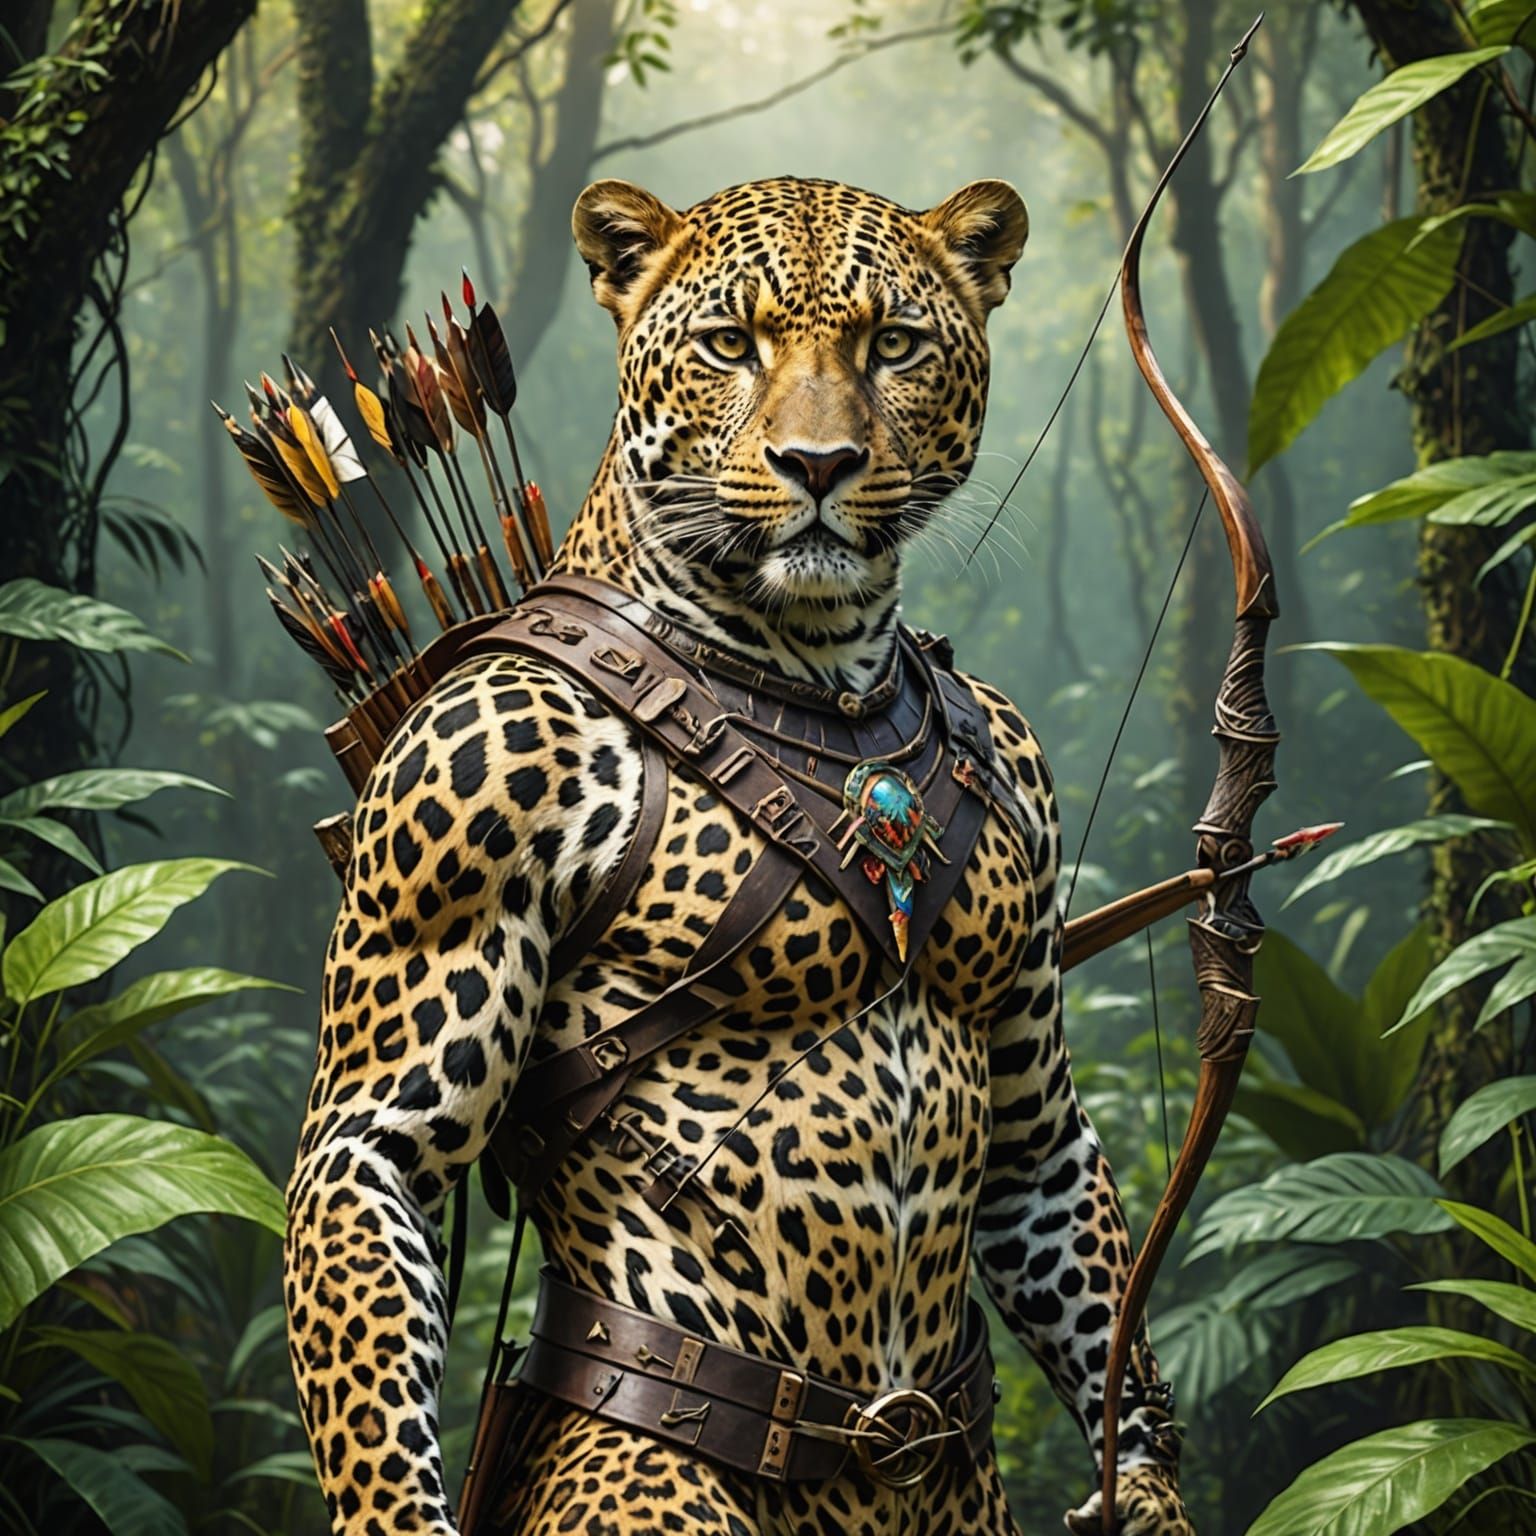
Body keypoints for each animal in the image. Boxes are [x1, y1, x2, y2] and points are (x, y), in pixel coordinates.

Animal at [284, 174, 1195, 1536]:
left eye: (893, 345)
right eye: (731, 344)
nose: (819, 464)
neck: (825, 668)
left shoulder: (1028, 968)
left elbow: (1044, 1160)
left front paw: (1141, 1483)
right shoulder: (458, 792)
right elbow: (374, 1148)